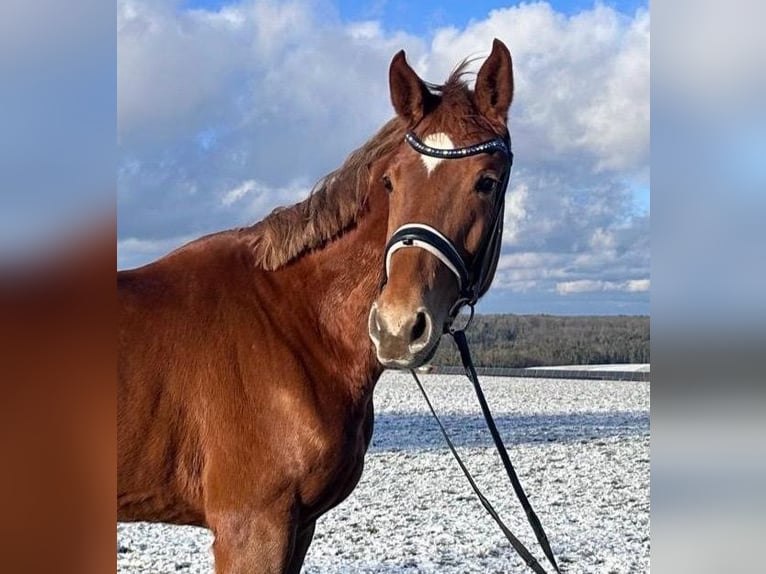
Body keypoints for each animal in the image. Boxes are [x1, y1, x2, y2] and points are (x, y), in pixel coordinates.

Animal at [120, 40, 516, 574]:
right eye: (390, 182)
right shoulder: (252, 529)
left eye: (487, 182)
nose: (397, 327)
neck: (295, 322)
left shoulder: (299, 526)